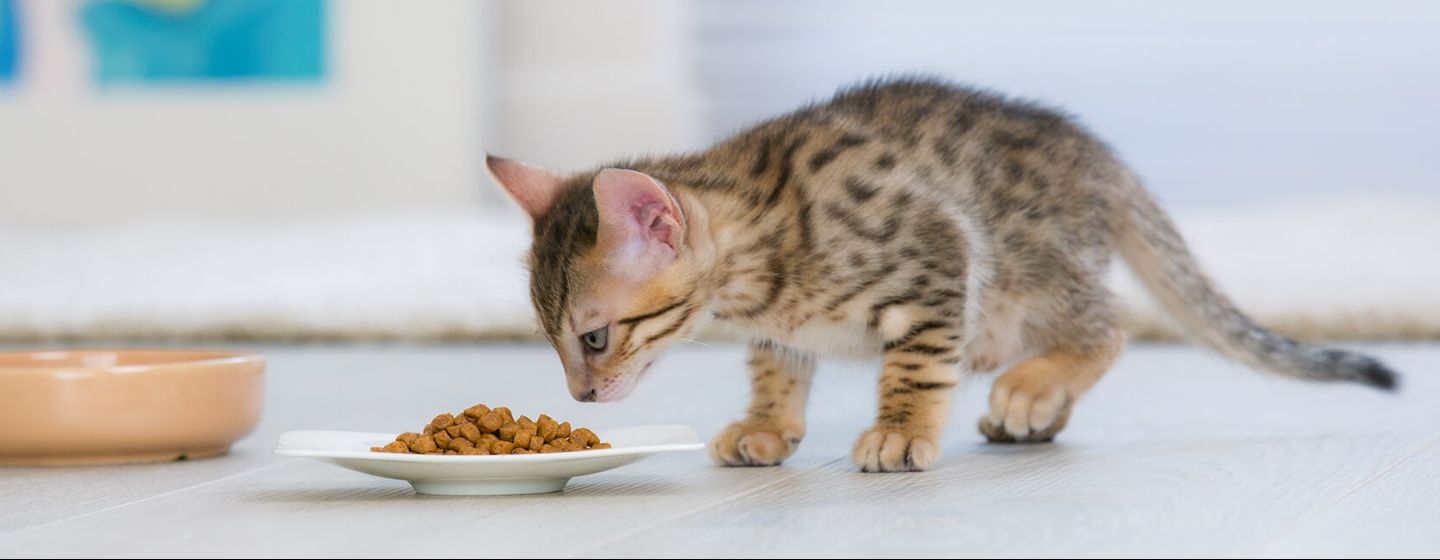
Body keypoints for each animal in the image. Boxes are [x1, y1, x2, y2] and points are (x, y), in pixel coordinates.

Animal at [483, 78, 1393, 472]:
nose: (579, 398)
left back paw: (1035, 388)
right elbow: (777, 370)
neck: (756, 273)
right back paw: (1034, 415)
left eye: (594, 338)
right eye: (554, 341)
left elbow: (914, 367)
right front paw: (767, 424)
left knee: (1107, 325)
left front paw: (899, 431)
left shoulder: (936, 258)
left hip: (1027, 272)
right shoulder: (782, 330)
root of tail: (1102, 160)